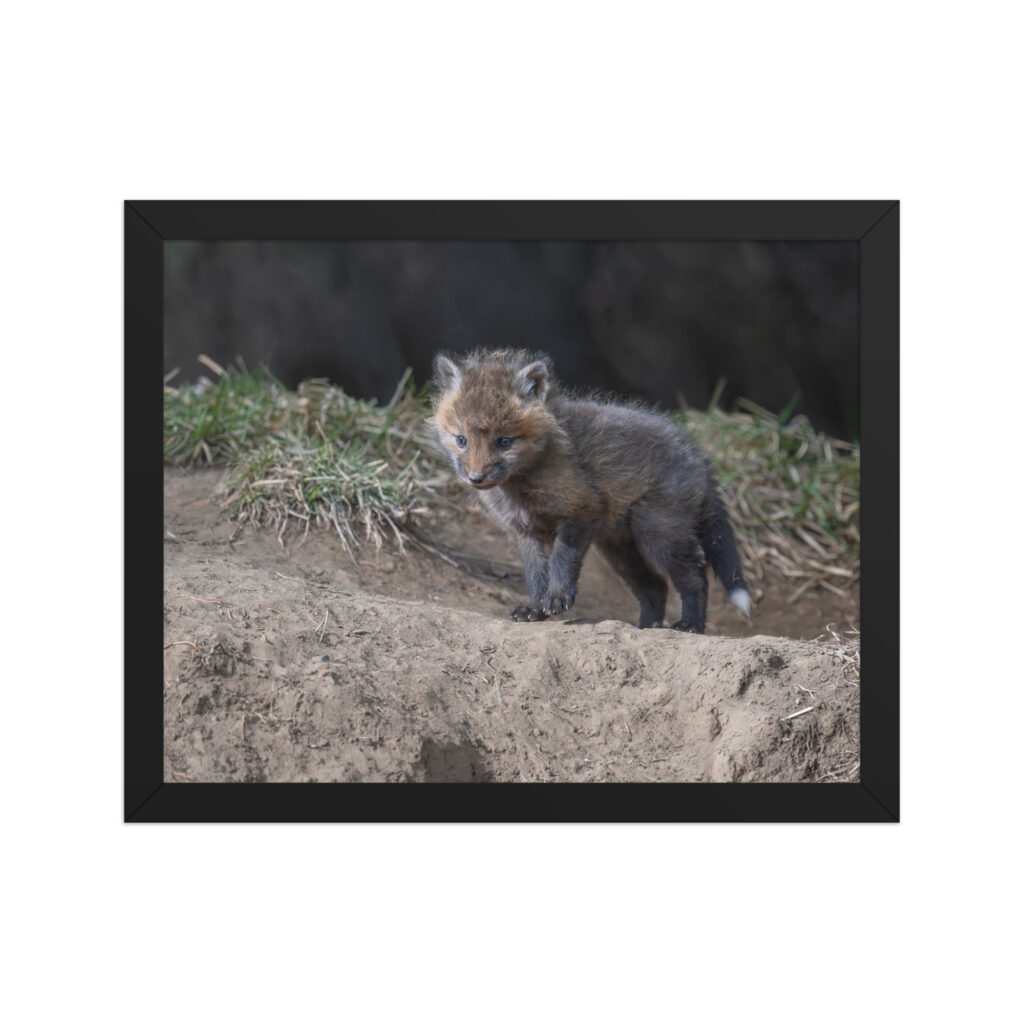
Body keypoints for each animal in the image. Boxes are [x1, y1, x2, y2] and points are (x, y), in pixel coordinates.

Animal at [431, 348, 750, 633]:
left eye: (504, 441)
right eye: (461, 440)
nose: (476, 478)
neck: (522, 487)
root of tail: (699, 457)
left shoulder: (582, 509)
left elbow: (562, 559)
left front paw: (558, 598)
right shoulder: (528, 530)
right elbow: (536, 574)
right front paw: (535, 608)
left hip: (657, 534)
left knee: (696, 577)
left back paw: (690, 624)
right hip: (620, 550)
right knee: (656, 587)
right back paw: (646, 627)